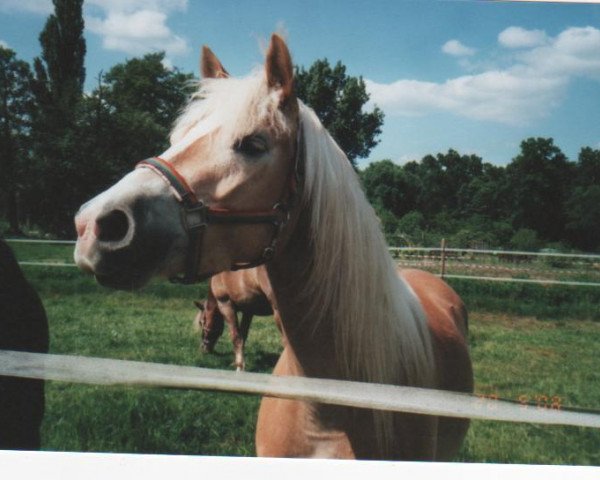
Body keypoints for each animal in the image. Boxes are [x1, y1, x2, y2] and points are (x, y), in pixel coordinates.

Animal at [72, 34, 472, 462]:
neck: (331, 414)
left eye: (253, 144)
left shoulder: (231, 304)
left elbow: (237, 334)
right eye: (175, 141)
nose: (95, 224)